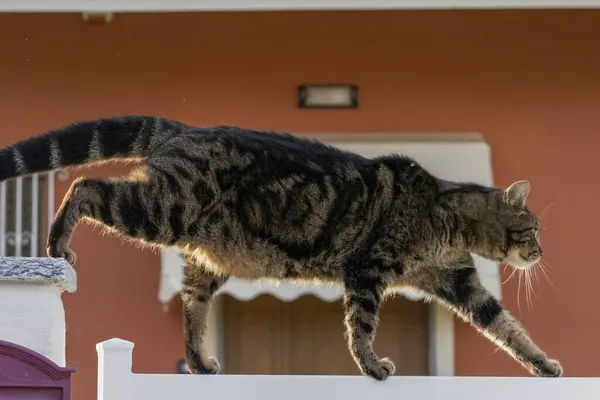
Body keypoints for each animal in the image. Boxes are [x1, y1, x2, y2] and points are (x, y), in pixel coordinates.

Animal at [0, 116, 564, 382]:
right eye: (534, 229)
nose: (541, 253)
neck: (445, 219)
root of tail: (184, 128)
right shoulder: (368, 270)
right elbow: (361, 327)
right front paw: (372, 367)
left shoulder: (460, 283)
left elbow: (509, 329)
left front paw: (545, 365)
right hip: (160, 210)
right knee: (85, 187)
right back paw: (56, 241)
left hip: (206, 259)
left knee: (191, 310)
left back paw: (199, 362)